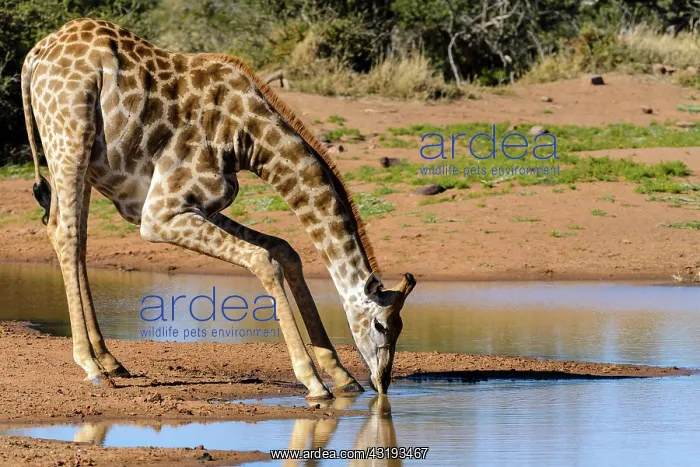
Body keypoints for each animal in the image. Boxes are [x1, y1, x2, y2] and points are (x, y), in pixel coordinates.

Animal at [21, 18, 416, 399]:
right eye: (381, 324)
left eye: (400, 327)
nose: (383, 382)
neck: (248, 137)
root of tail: (34, 56)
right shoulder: (158, 215)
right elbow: (263, 260)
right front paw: (314, 382)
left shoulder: (200, 206)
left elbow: (285, 250)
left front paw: (342, 375)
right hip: (70, 139)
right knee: (66, 233)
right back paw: (90, 365)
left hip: (84, 161)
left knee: (73, 236)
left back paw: (109, 360)